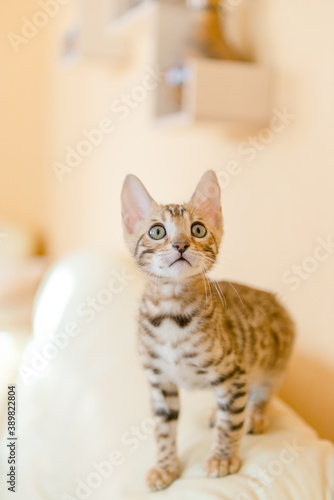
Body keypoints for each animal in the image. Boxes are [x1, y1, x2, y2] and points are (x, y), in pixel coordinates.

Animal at [120, 170, 294, 490]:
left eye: (198, 230)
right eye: (157, 232)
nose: (181, 245)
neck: (171, 316)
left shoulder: (233, 371)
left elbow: (231, 422)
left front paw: (223, 458)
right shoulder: (159, 381)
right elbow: (163, 430)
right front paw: (165, 467)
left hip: (274, 362)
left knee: (260, 392)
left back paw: (254, 414)